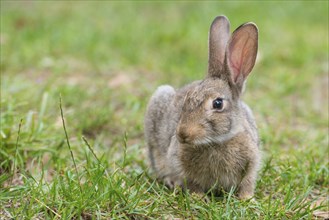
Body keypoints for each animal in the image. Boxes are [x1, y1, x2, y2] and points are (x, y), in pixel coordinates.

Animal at [145, 14, 260, 199]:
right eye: (186, 99)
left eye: (218, 103)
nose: (182, 134)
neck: (216, 142)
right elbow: (192, 183)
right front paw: (198, 198)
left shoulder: (251, 164)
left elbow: (247, 183)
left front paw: (247, 199)